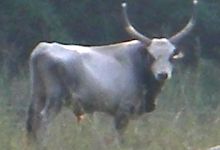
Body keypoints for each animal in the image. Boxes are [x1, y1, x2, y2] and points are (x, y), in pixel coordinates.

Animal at [25, 0, 198, 141]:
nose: (163, 74)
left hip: (38, 95)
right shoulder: (123, 111)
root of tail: (42, 48)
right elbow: (120, 137)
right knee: (43, 120)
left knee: (33, 122)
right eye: (152, 56)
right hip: (56, 98)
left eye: (171, 57)